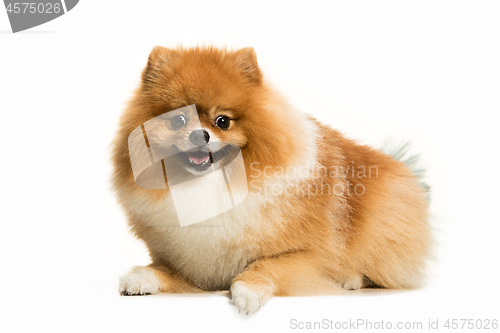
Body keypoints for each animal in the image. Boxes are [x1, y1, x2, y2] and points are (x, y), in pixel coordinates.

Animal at [111, 45, 432, 312]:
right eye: (178, 120)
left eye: (222, 121)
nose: (199, 134)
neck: (211, 185)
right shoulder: (192, 263)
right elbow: (164, 269)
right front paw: (140, 278)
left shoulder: (309, 256)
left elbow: (268, 264)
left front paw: (247, 292)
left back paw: (352, 279)